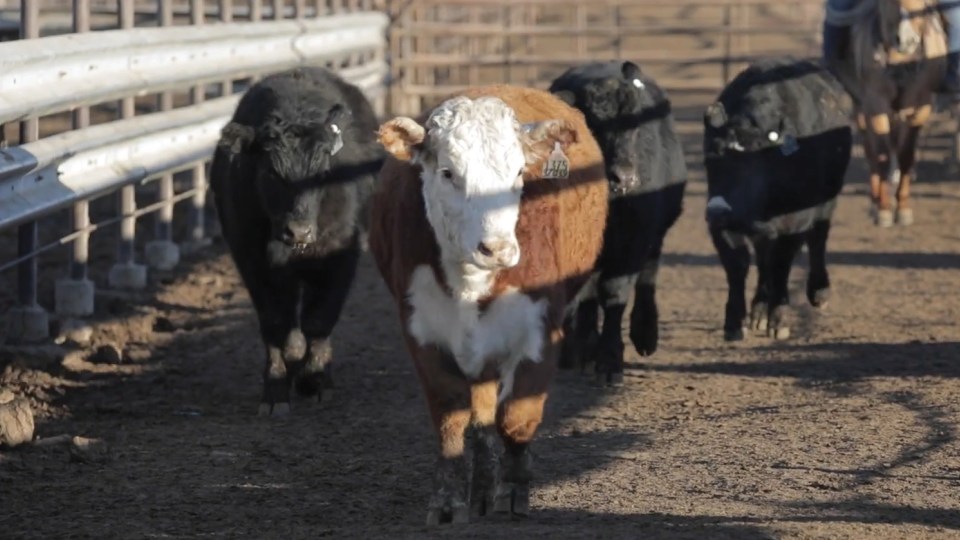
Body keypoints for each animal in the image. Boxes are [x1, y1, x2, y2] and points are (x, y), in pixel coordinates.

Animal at [212, 66, 384, 414]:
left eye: (323, 173)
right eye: (271, 172)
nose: (299, 231)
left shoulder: (341, 257)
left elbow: (319, 321)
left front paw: (314, 377)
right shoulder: (253, 262)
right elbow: (277, 325)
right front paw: (276, 387)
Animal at [370, 83, 608, 524]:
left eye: (517, 172)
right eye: (448, 173)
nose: (496, 248)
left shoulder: (540, 329)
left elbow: (516, 418)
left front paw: (514, 492)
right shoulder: (421, 329)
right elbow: (451, 415)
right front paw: (448, 501)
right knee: (479, 416)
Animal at [548, 61, 688, 384]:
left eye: (635, 127)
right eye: (592, 126)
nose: (623, 177)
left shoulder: (633, 240)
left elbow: (615, 293)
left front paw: (610, 358)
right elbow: (584, 294)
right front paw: (580, 349)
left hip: (655, 234)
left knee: (648, 273)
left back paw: (645, 333)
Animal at [700, 56, 852, 342]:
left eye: (757, 166)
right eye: (713, 157)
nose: (719, 210)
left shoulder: (795, 224)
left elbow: (780, 266)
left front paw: (778, 319)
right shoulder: (722, 230)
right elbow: (738, 266)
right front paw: (734, 322)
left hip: (827, 201)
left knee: (817, 238)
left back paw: (819, 291)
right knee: (763, 260)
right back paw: (759, 311)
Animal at [832, 0, 944, 227]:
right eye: (890, 2)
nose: (907, 40)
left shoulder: (919, 108)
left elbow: (906, 156)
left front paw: (903, 209)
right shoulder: (876, 107)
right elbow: (881, 156)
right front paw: (884, 210)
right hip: (862, 109)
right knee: (871, 151)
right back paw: (875, 203)